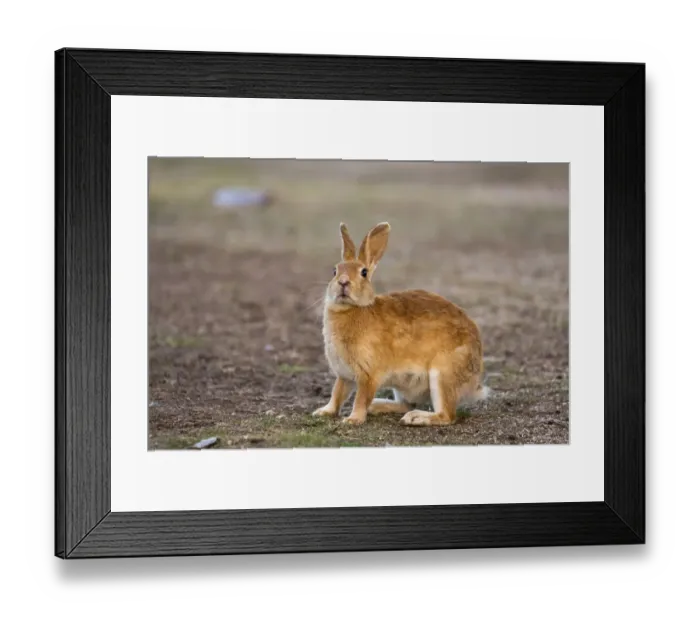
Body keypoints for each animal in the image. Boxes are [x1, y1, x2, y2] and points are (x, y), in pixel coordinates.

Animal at [312, 221, 490, 427]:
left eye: (363, 273)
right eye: (335, 271)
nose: (342, 282)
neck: (353, 309)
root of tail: (474, 382)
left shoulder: (368, 374)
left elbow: (360, 398)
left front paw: (353, 419)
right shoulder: (344, 374)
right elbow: (337, 394)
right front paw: (323, 412)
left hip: (442, 374)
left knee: (446, 415)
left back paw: (416, 417)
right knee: (406, 405)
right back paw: (378, 406)